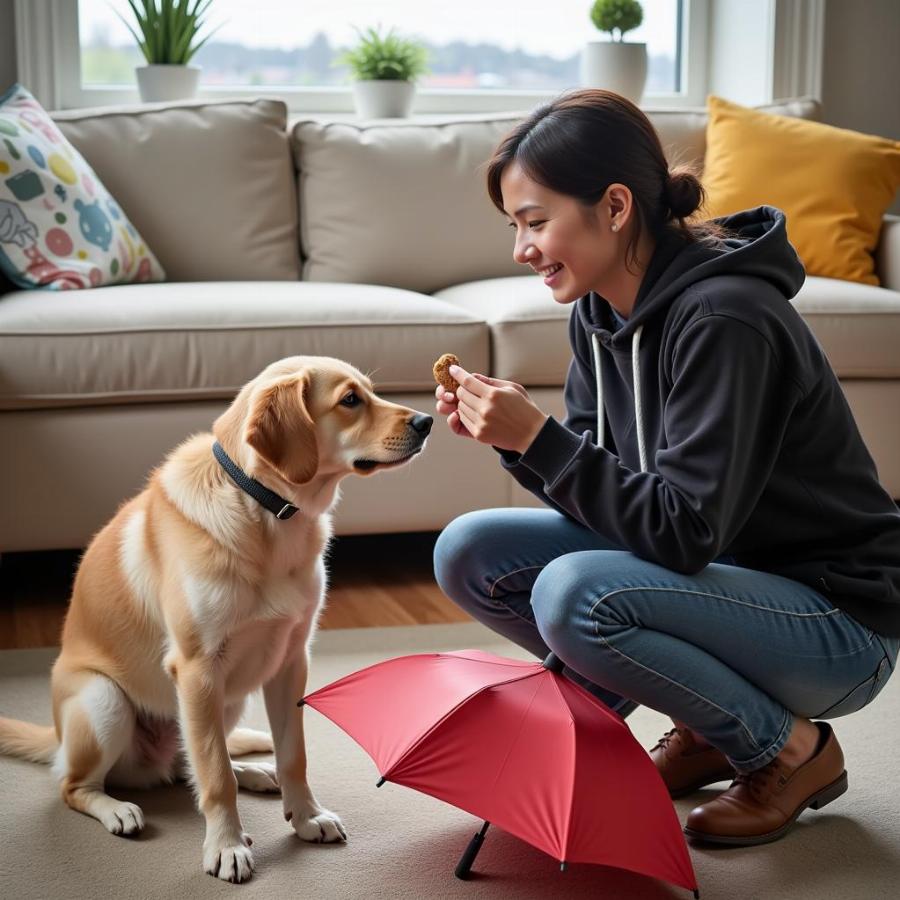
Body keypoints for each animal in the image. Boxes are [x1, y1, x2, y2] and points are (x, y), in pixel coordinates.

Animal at [0, 356, 432, 884]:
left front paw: (306, 816)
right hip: (107, 702)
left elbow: (292, 754)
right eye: (350, 400)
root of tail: (59, 741)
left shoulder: (291, 661)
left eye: (371, 392)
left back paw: (257, 773)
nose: (426, 421)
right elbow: (214, 774)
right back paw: (117, 809)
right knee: (79, 785)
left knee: (189, 764)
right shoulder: (198, 669)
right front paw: (225, 846)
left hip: (229, 700)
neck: (267, 510)